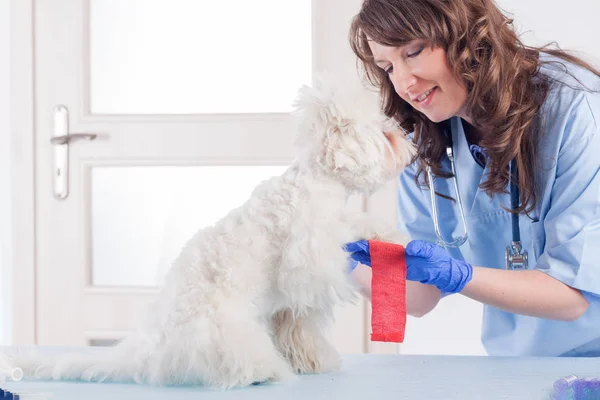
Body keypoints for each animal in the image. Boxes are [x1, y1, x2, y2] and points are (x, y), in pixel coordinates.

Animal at [1, 74, 412, 388]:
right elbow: (339, 239)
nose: (405, 138)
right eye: (383, 131)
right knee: (232, 359)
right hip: (222, 331)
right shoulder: (309, 250)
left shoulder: (295, 295)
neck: (317, 180)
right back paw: (260, 372)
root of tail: (149, 350)